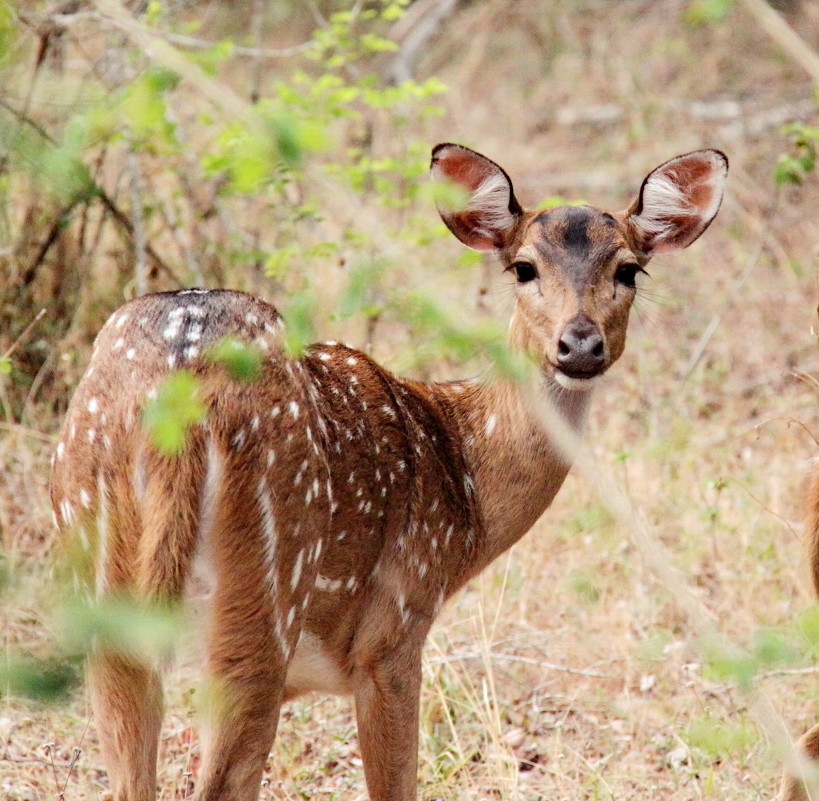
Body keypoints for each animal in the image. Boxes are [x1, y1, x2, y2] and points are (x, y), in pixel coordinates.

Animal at [51, 145, 728, 800]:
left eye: (629, 269)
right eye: (523, 267)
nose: (579, 345)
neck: (464, 488)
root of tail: (183, 382)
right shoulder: (396, 630)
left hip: (98, 569)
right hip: (266, 581)